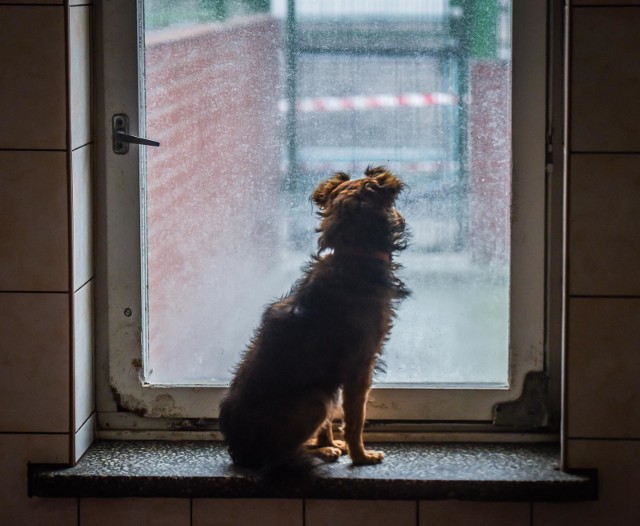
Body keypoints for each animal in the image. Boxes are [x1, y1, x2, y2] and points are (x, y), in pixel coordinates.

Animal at [219, 167, 410, 472]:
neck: (354, 255)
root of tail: (240, 453)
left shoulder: (334, 379)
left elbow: (330, 423)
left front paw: (329, 442)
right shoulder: (359, 367)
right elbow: (355, 420)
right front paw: (360, 456)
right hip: (316, 399)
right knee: (280, 456)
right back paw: (316, 453)